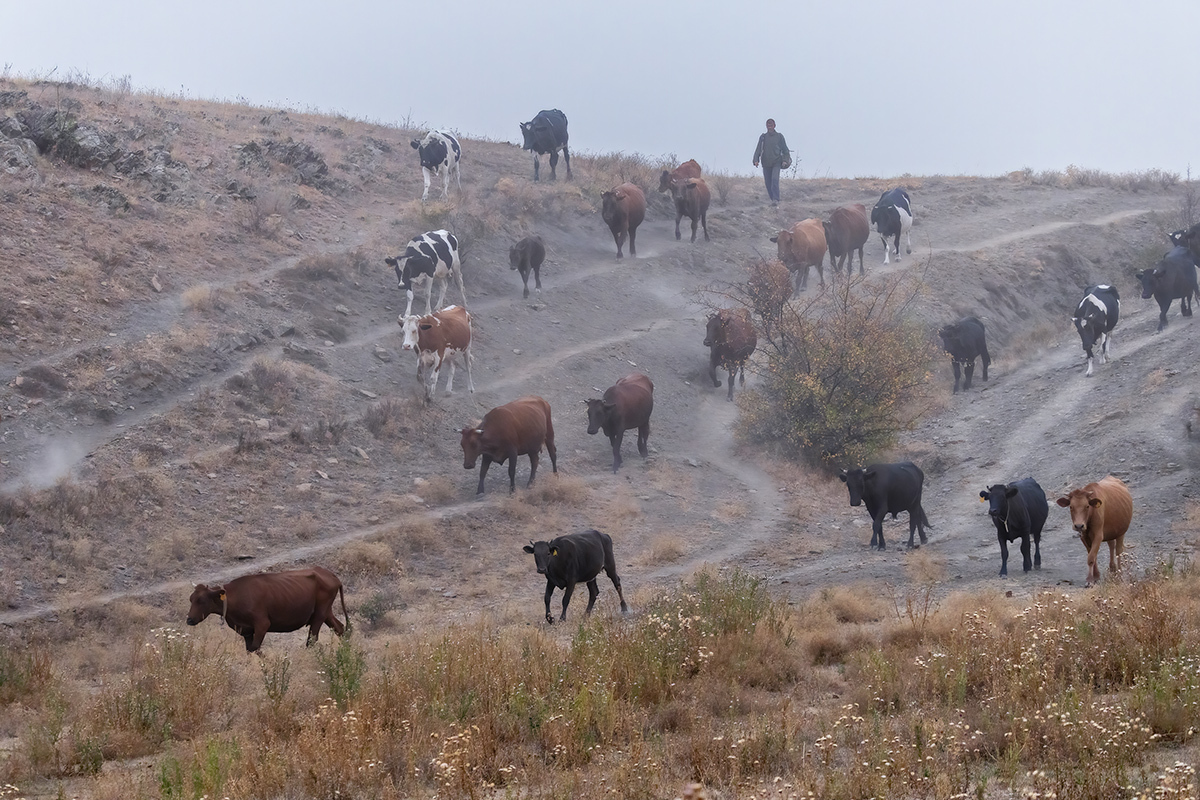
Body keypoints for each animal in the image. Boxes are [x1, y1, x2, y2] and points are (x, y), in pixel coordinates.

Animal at [186, 566, 348, 652]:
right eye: (191, 599)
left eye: (201, 600)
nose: (189, 620)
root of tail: (331, 575)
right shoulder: (246, 630)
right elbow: (250, 649)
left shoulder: (262, 624)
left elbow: (255, 648)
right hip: (326, 612)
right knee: (340, 628)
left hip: (320, 614)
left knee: (312, 640)